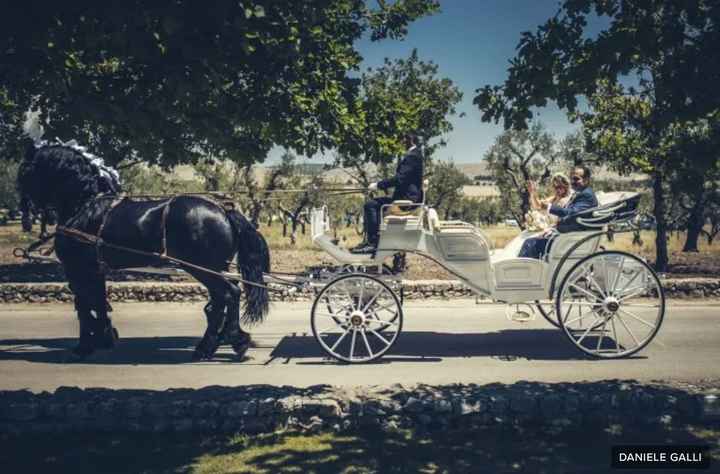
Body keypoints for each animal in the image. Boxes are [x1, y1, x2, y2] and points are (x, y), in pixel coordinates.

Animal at [16, 143, 270, 362]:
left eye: (25, 172)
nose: (27, 215)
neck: (84, 206)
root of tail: (224, 210)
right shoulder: (95, 270)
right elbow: (98, 302)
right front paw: (105, 337)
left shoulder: (77, 269)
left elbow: (84, 305)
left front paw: (84, 346)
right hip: (216, 268)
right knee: (222, 299)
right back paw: (220, 343)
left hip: (203, 268)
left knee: (228, 295)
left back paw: (223, 343)